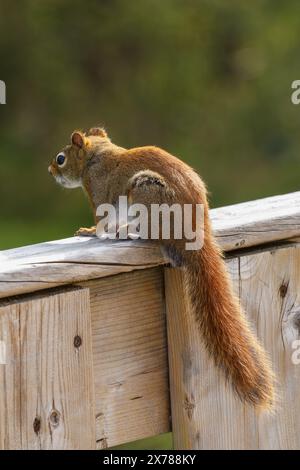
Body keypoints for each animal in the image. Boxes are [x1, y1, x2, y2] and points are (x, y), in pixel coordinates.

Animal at [48, 126, 274, 410]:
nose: (50, 171)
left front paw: (89, 231)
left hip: (147, 193)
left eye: (60, 159)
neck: (97, 154)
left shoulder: (99, 192)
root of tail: (197, 229)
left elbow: (102, 221)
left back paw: (130, 232)